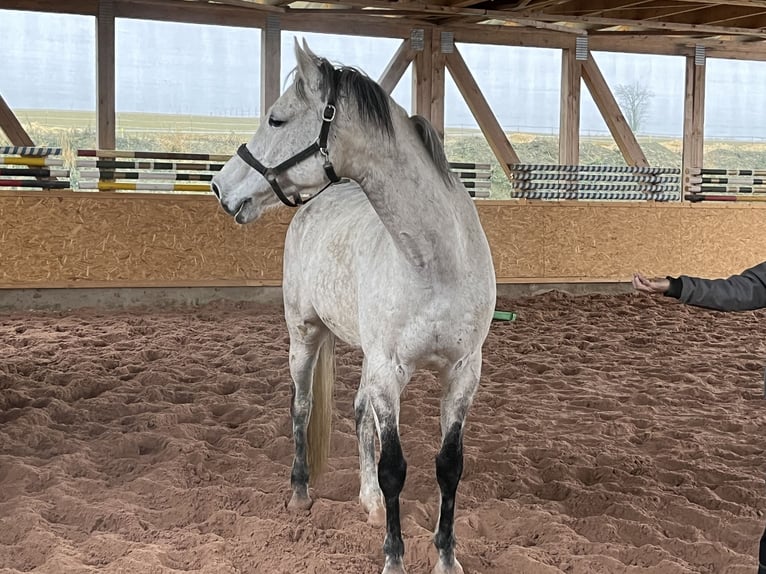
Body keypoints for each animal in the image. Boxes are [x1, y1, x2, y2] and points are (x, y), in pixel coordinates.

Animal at [211, 40, 496, 574]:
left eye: (277, 119)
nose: (222, 187)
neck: (435, 262)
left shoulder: (463, 372)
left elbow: (448, 467)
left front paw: (446, 557)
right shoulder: (389, 370)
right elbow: (394, 467)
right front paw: (393, 559)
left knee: (361, 413)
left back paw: (368, 502)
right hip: (304, 335)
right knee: (301, 407)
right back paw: (301, 493)